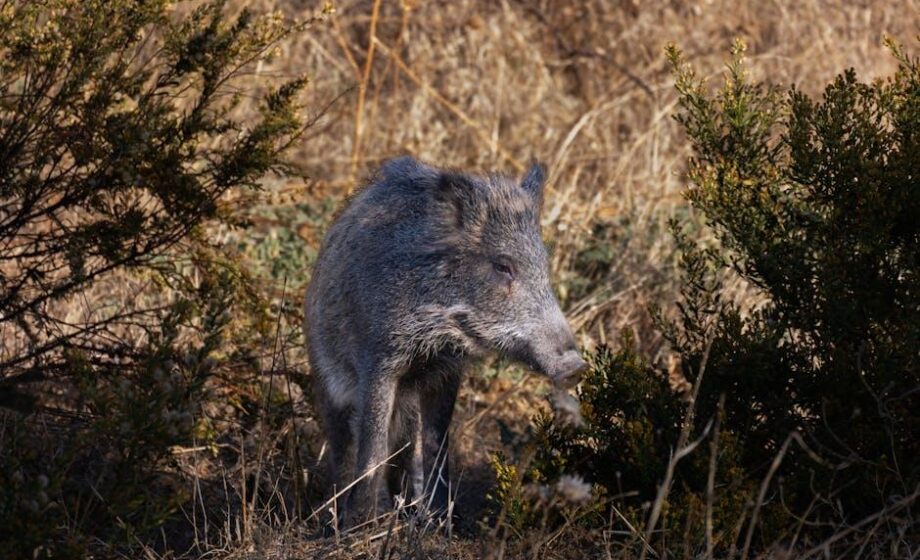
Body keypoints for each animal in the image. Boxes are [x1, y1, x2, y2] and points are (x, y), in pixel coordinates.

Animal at [304, 157, 586, 526]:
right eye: (503, 265)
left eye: (543, 267)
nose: (576, 366)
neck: (436, 329)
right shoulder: (379, 359)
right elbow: (372, 445)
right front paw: (362, 524)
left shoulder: (446, 371)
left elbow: (437, 443)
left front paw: (440, 522)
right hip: (328, 384)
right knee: (344, 447)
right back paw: (337, 517)